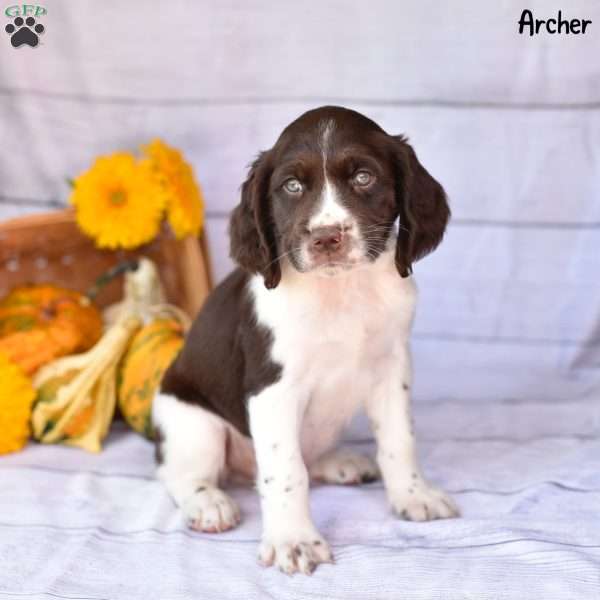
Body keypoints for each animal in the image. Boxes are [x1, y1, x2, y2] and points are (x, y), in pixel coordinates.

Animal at [152, 105, 458, 576]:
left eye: (364, 178)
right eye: (292, 187)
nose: (326, 237)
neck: (341, 290)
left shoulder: (393, 368)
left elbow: (399, 440)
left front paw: (413, 494)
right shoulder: (273, 389)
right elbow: (286, 470)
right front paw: (293, 540)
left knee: (311, 458)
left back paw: (341, 463)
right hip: (191, 422)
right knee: (180, 473)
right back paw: (209, 503)